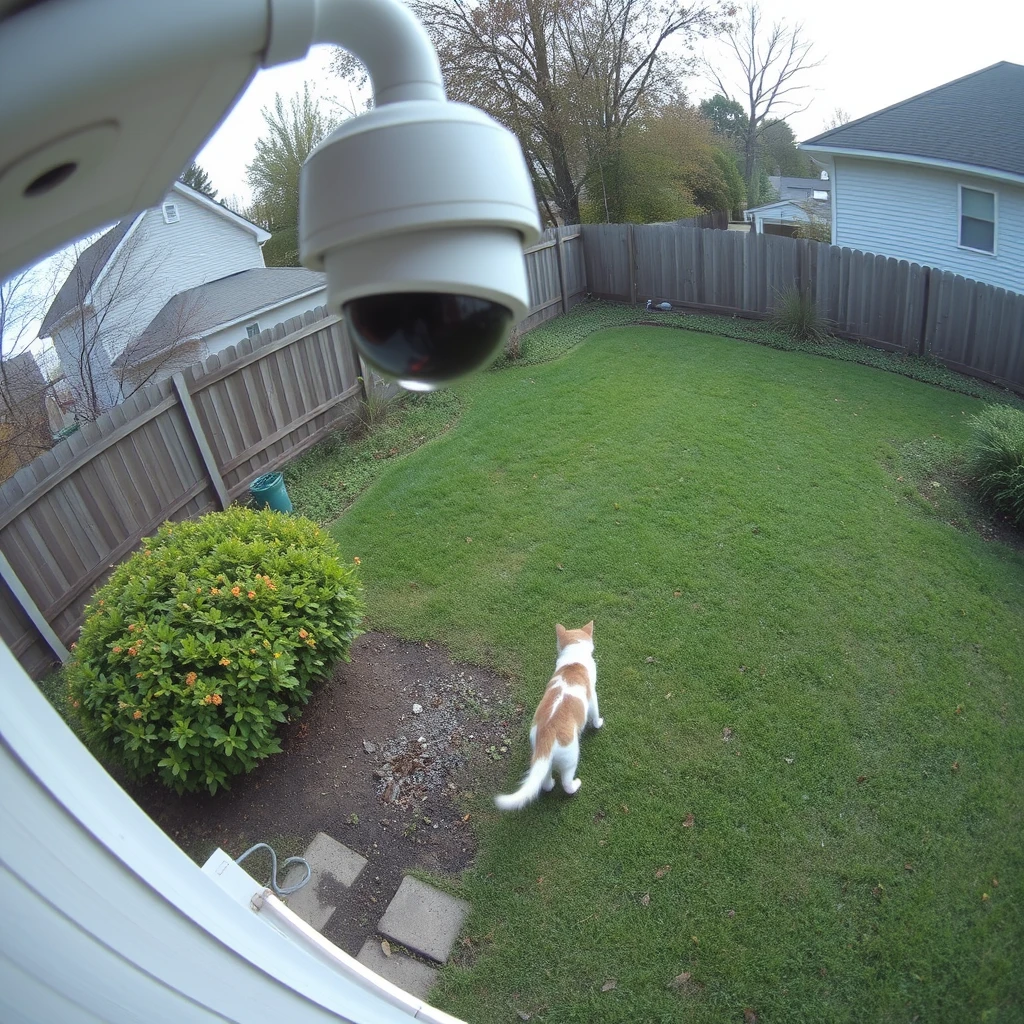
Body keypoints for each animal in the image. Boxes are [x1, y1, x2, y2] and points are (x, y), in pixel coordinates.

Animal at [493, 618, 598, 811]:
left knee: (546, 782)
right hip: (571, 758)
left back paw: (549, 785)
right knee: (566, 783)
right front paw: (598, 723)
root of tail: (547, 736)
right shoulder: (593, 696)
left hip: (544, 761)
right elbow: (595, 713)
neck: (574, 659)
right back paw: (575, 785)